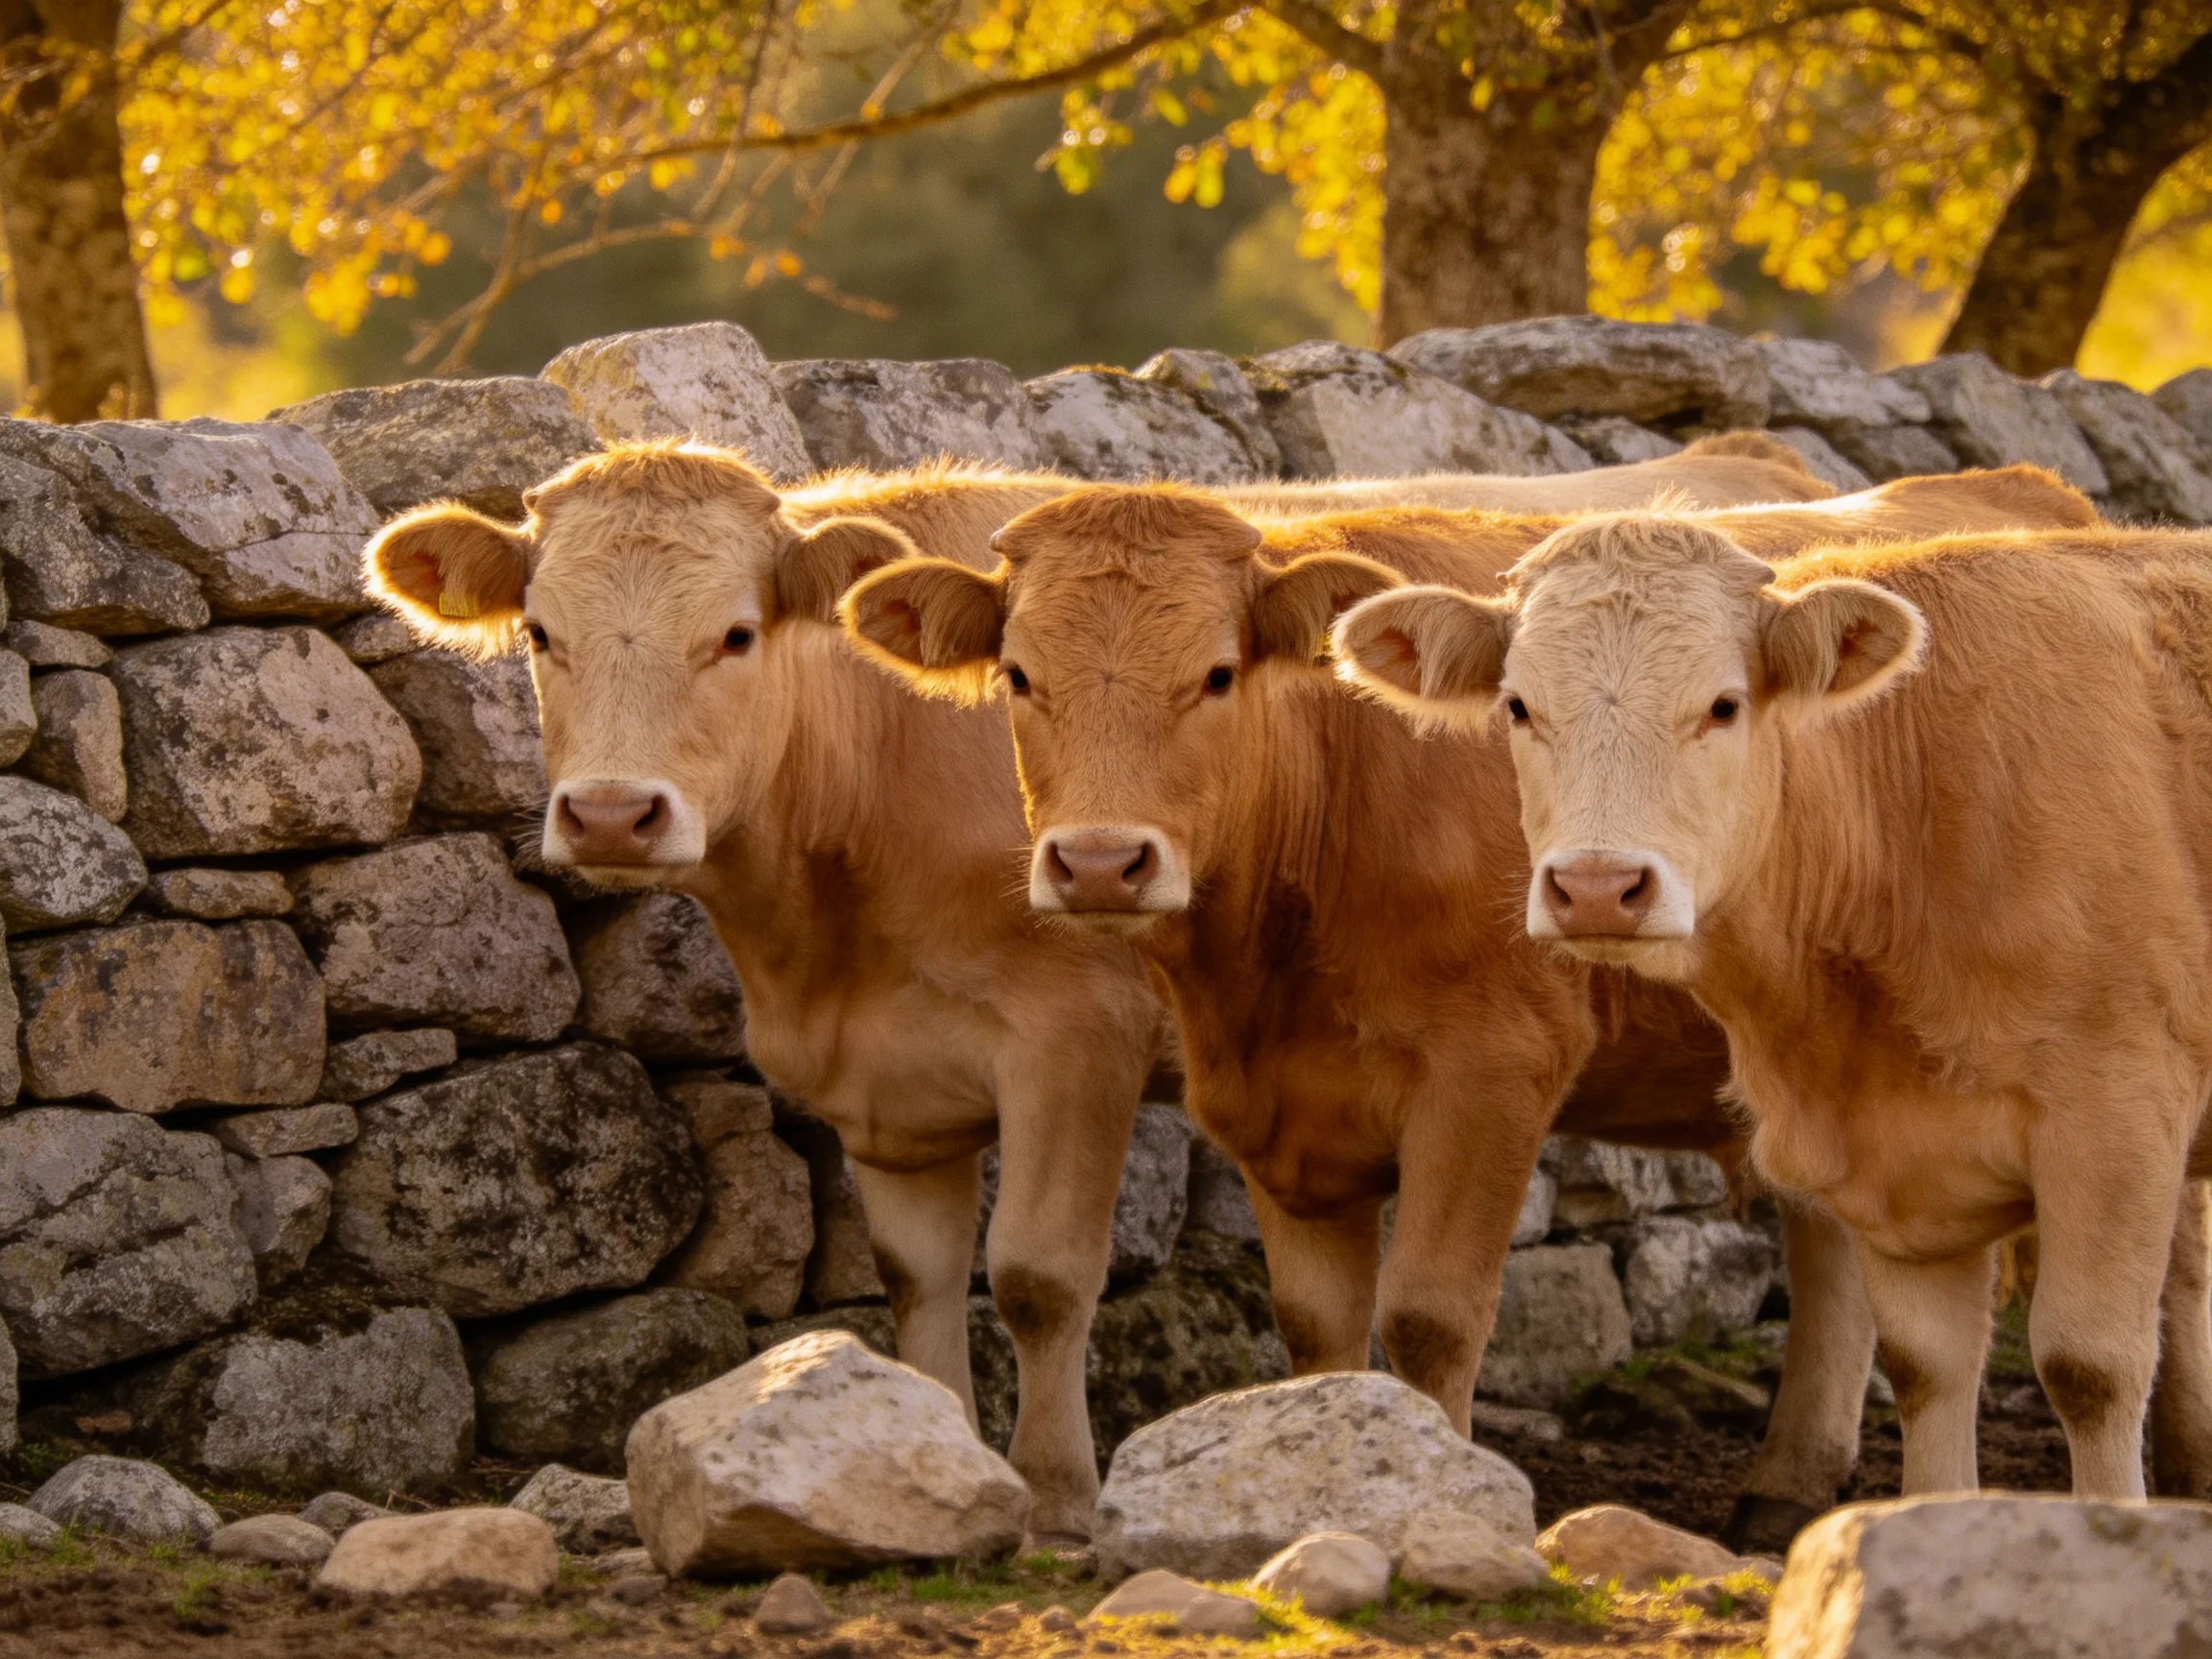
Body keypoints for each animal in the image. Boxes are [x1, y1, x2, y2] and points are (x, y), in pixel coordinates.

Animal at [835, 471, 2099, 1546]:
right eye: (1017, 676)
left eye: (1217, 674)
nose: (1100, 864)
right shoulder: (1278, 1105)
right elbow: (1319, 1329)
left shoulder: (1492, 1071)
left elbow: (1432, 1317)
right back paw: (1785, 1488)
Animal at [1329, 515, 2212, 1502]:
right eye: (1518, 706)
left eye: (1724, 705)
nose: (1597, 888)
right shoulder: (1901, 1162)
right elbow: (1927, 1368)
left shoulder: (2118, 1116)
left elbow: (2090, 1368)